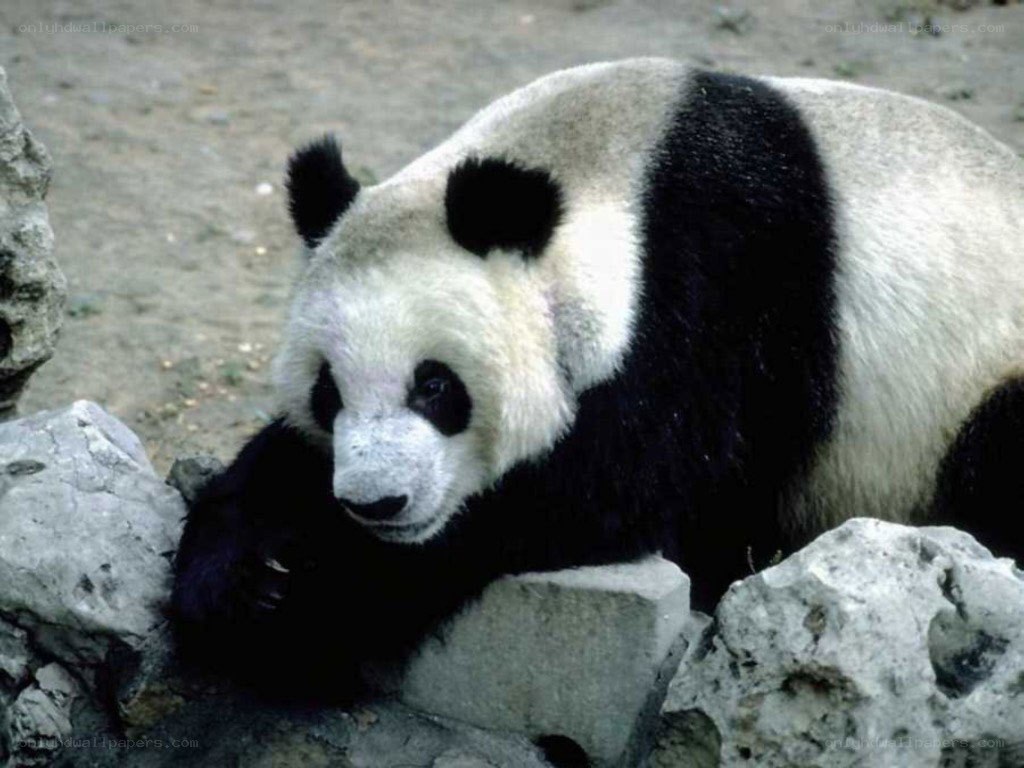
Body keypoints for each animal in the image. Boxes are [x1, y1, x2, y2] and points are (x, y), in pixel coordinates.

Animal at [171, 58, 1024, 690]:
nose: (377, 503)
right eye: (328, 391)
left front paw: (307, 603)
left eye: (435, 386)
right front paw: (236, 576)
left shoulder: (723, 285)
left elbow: (608, 488)